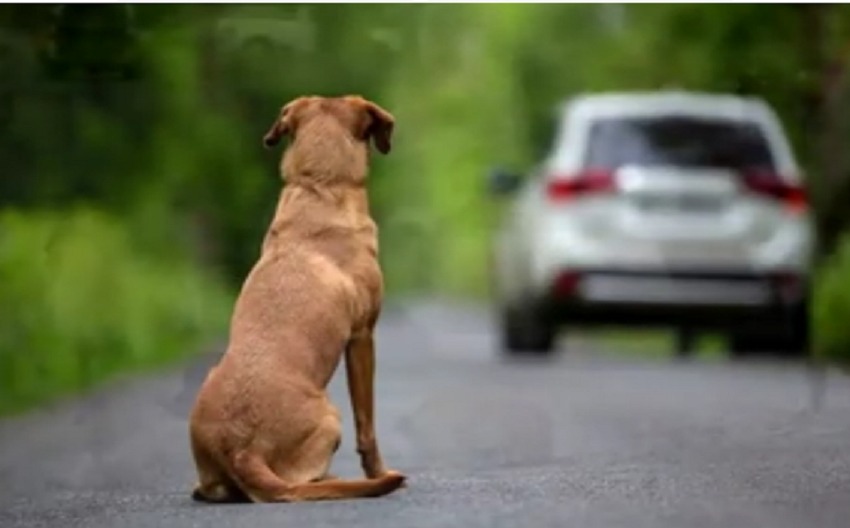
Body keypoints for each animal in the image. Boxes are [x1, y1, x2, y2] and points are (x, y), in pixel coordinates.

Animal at [188, 94, 404, 504]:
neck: (320, 185)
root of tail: (243, 451)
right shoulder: (362, 337)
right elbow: (367, 425)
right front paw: (379, 471)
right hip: (330, 416)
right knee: (304, 481)